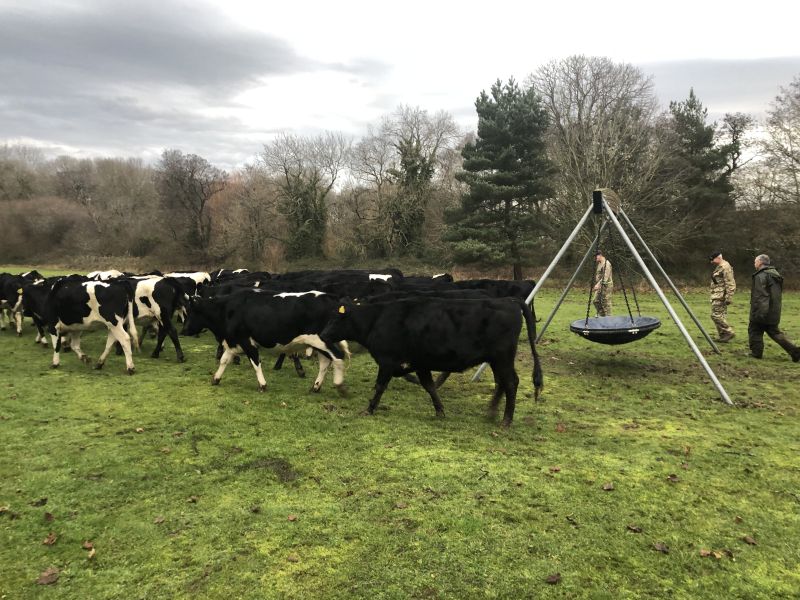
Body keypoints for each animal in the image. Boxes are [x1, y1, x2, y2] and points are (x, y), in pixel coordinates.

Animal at [183, 290, 348, 394]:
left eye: (191, 312)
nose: (183, 331)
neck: (227, 310)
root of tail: (330, 297)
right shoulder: (233, 342)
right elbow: (224, 360)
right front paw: (216, 379)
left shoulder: (247, 342)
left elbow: (256, 363)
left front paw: (262, 385)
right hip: (319, 344)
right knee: (325, 363)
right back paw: (316, 387)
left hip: (321, 340)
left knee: (338, 357)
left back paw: (339, 385)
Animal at [318, 296, 544, 426]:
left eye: (336, 318)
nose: (322, 334)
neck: (377, 320)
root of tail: (510, 302)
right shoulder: (420, 364)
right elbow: (430, 386)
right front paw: (440, 411)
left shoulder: (387, 362)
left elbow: (380, 386)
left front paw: (369, 409)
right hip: (496, 360)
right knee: (501, 384)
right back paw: (491, 412)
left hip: (502, 357)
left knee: (510, 383)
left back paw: (506, 420)